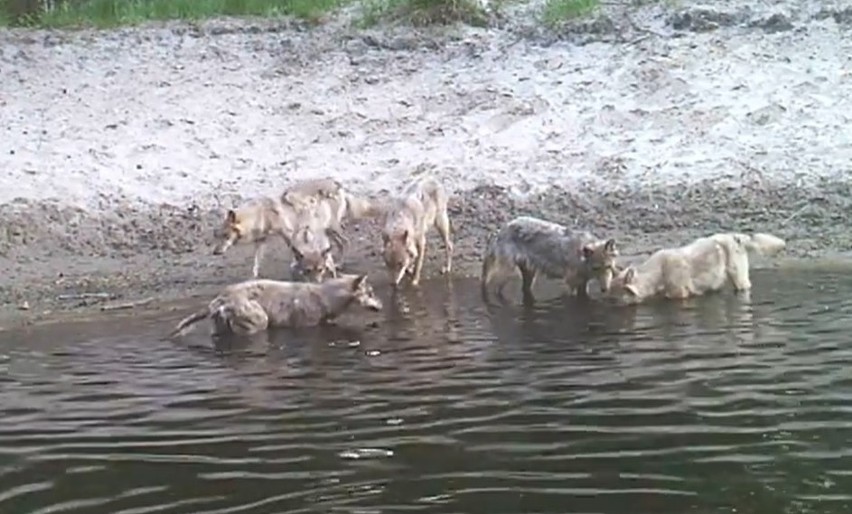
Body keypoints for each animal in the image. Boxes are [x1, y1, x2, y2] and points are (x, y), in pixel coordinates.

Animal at [166, 274, 382, 338]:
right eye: (371, 293)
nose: (381, 306)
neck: (326, 295)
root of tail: (220, 299)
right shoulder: (306, 326)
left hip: (221, 324)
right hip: (259, 320)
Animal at [480, 215, 620, 302]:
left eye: (608, 267)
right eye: (596, 268)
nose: (604, 289)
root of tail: (501, 230)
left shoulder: (583, 284)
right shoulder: (571, 284)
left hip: (530, 275)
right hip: (507, 272)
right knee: (493, 287)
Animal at [604, 229, 784, 304]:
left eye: (614, 297)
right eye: (608, 294)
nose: (607, 303)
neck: (658, 274)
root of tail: (736, 236)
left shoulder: (680, 295)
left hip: (739, 279)